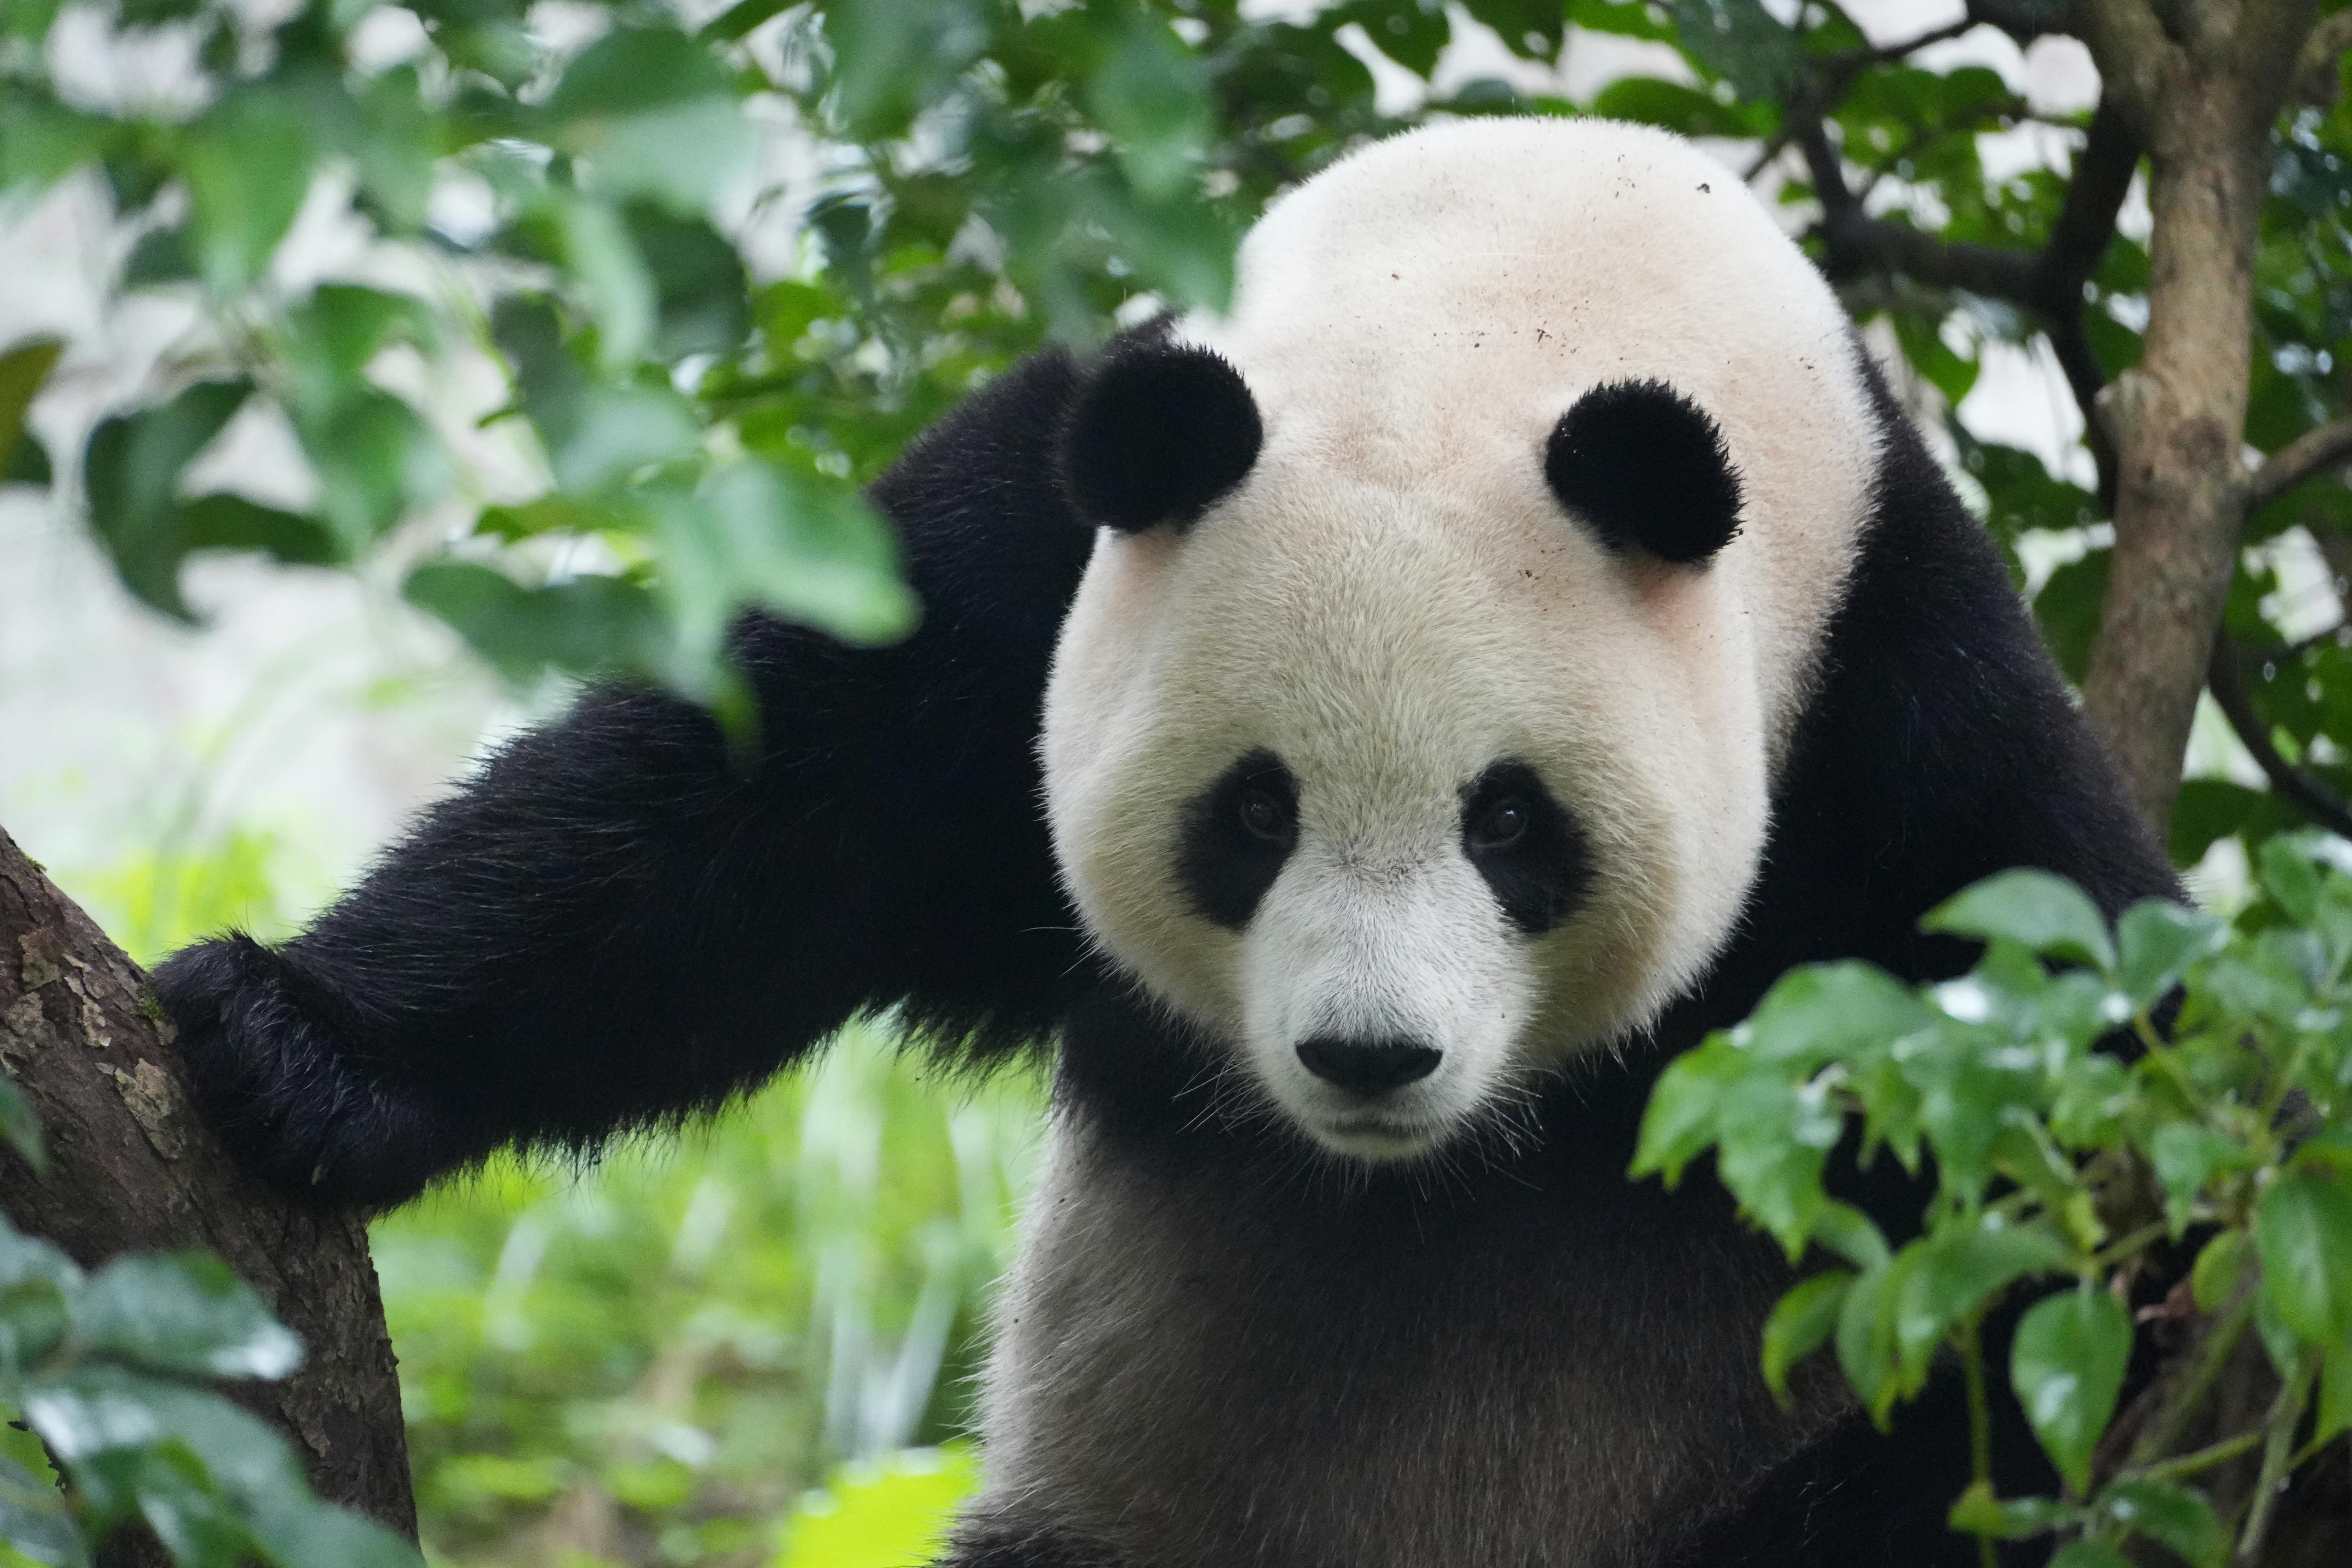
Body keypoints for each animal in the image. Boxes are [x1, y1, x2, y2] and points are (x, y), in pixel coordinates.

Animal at [157, 119, 2180, 1568]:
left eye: (1511, 820)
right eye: (1254, 812)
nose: (1370, 1056)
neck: (1518, 295)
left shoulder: (1898, 744)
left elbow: (2087, 1222)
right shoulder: (1038, 572)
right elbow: (725, 823)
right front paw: (293, 1041)